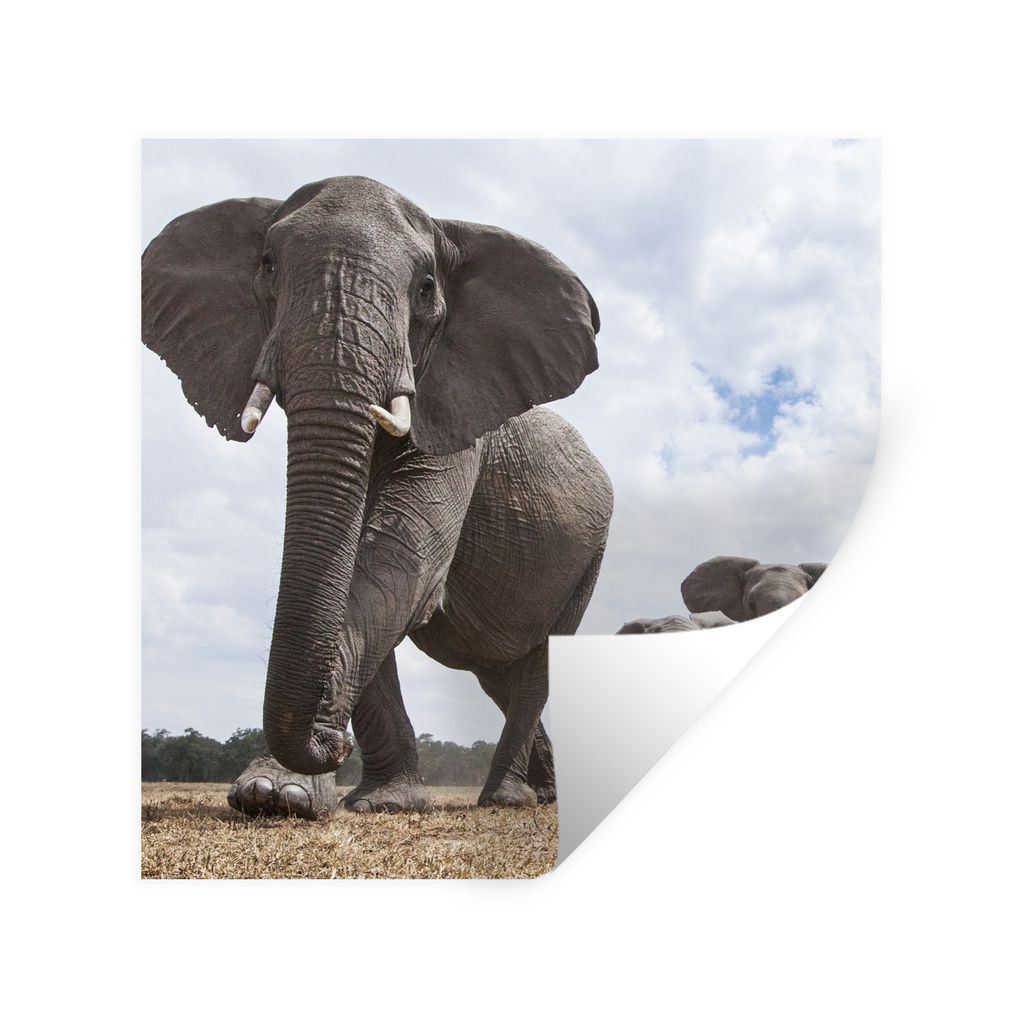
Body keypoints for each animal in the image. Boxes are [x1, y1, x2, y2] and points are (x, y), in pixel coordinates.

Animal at [142, 175, 613, 817]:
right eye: (267, 265)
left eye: (425, 288)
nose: (333, 742)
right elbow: (356, 568)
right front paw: (293, 795)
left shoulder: (456, 423)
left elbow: (399, 566)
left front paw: (293, 793)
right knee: (501, 674)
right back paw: (543, 793)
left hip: (589, 558)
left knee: (535, 665)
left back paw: (507, 800)